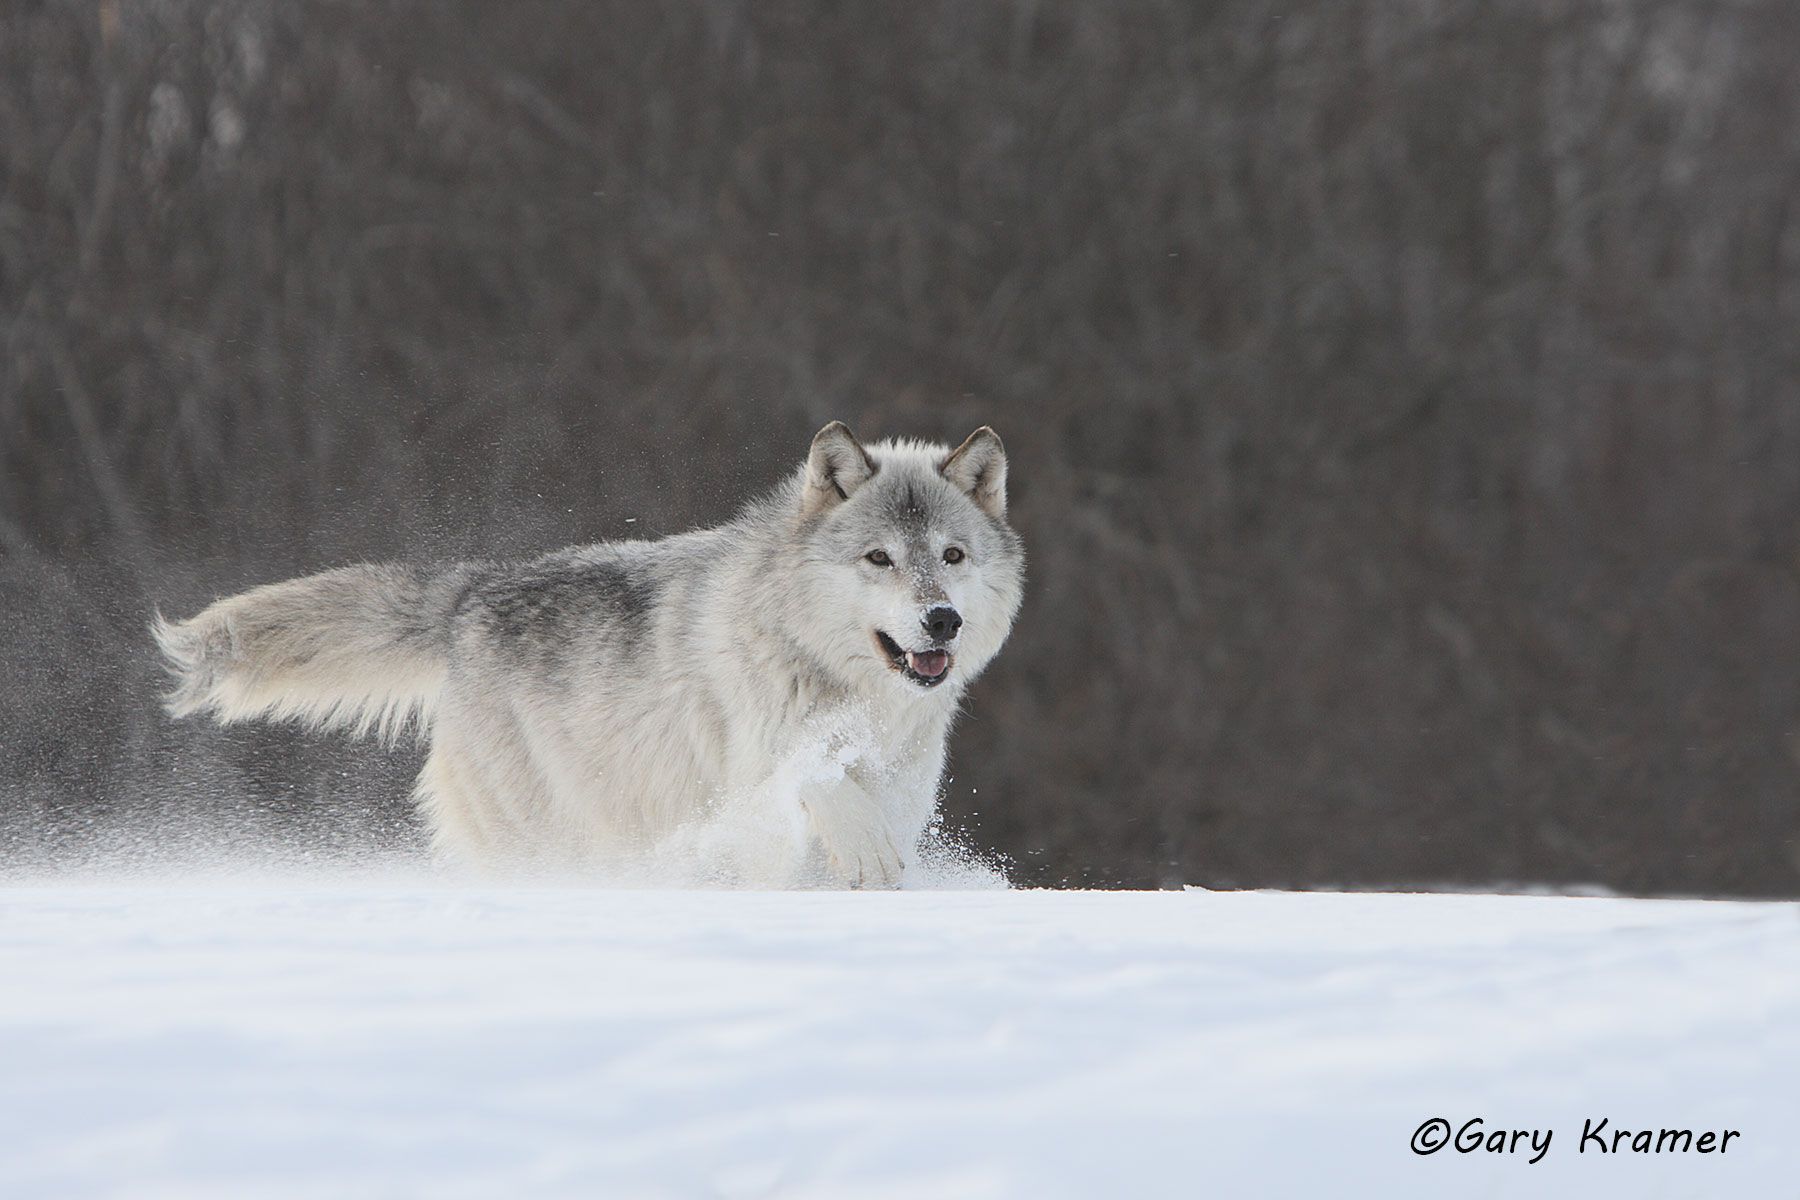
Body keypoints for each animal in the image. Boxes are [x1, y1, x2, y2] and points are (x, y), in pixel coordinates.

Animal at [154, 422, 1024, 887]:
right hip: (540, 838)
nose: (941, 621)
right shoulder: (757, 769)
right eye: (879, 559)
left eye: (951, 556)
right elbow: (821, 777)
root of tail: (472, 591)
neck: (847, 688)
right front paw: (865, 847)